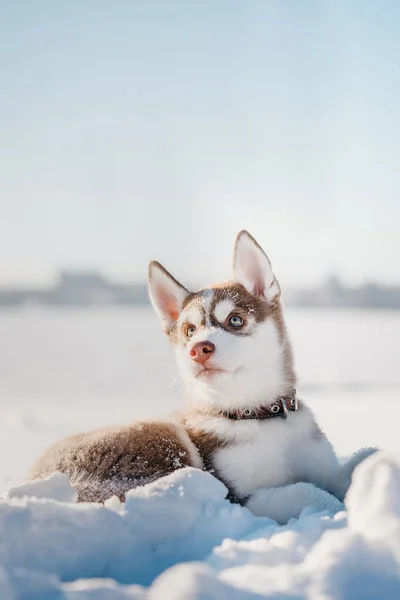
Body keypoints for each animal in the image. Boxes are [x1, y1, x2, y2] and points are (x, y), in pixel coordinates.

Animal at [29, 232, 350, 508]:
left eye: (235, 320)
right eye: (189, 330)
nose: (198, 349)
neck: (255, 415)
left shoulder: (322, 464)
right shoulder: (235, 494)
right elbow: (303, 492)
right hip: (166, 436)